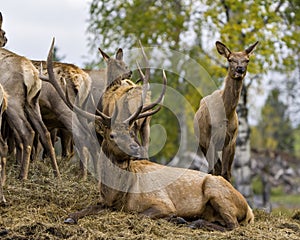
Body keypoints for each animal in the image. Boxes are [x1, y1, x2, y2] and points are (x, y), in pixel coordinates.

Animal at [0, 11, 60, 180]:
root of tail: (33, 75)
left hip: (14, 102)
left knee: (28, 132)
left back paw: (22, 175)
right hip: (33, 103)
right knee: (44, 133)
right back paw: (57, 175)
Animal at [193, 40, 258, 182]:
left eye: (247, 59)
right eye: (230, 59)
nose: (240, 69)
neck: (226, 114)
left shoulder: (231, 140)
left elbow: (226, 173)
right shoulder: (209, 139)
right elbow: (215, 170)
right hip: (202, 142)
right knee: (212, 169)